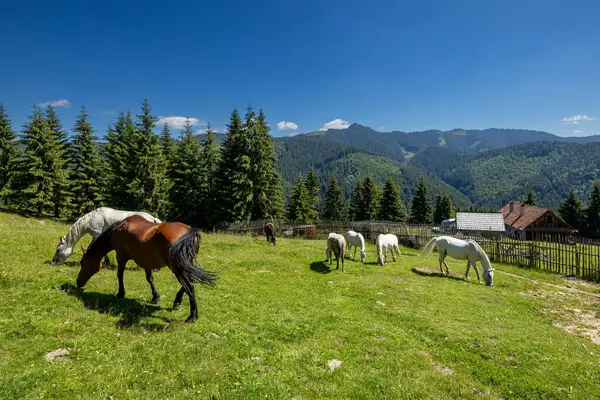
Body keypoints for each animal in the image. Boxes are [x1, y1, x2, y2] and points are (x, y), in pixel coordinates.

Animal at [77, 216, 218, 322]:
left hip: (176, 266)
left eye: (82, 262)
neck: (119, 228)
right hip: (185, 263)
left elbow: (120, 274)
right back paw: (177, 300)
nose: (78, 282)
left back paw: (192, 315)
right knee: (190, 281)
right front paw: (155, 297)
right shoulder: (146, 262)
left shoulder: (121, 255)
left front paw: (121, 293)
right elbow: (149, 278)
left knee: (189, 285)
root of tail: (189, 231)